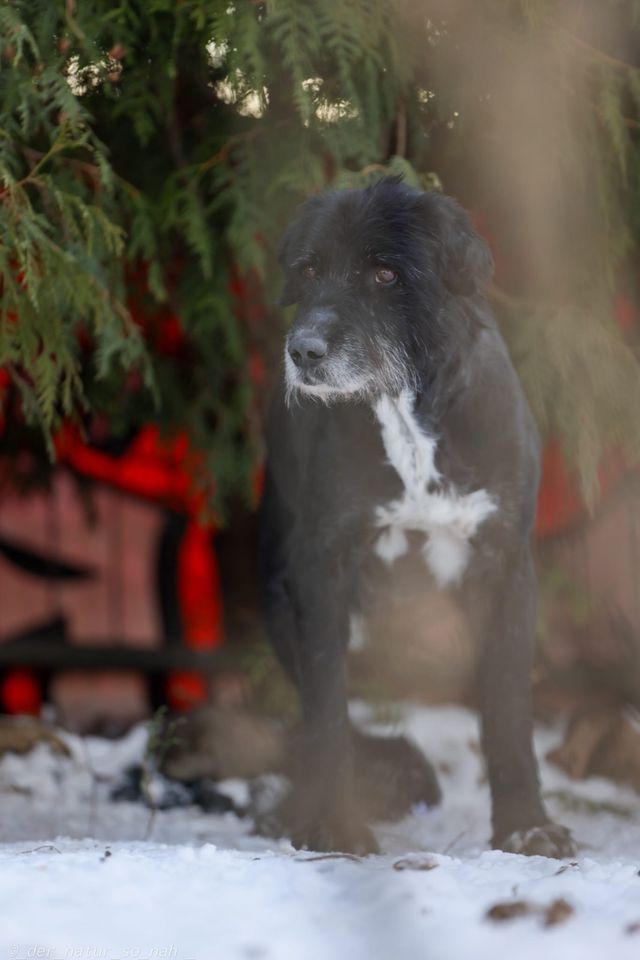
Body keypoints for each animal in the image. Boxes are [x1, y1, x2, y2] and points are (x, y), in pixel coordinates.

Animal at [260, 176, 576, 860]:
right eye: (308, 269)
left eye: (384, 273)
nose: (303, 351)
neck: (403, 413)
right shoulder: (319, 570)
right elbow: (327, 711)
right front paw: (331, 825)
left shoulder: (507, 566)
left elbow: (508, 710)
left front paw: (526, 824)